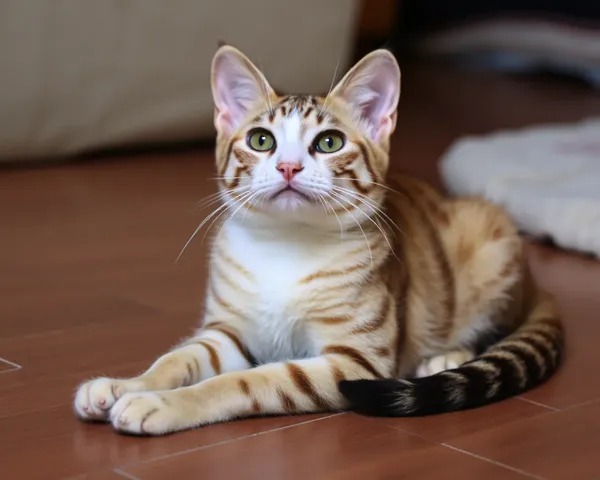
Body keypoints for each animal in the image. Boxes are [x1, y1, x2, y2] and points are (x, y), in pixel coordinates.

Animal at [74, 45, 564, 436]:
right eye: (261, 140)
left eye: (329, 143)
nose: (288, 166)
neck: (285, 247)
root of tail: (536, 286)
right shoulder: (228, 332)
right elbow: (178, 359)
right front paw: (125, 385)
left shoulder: (354, 363)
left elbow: (244, 381)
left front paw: (160, 403)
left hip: (491, 237)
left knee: (491, 328)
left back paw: (446, 356)